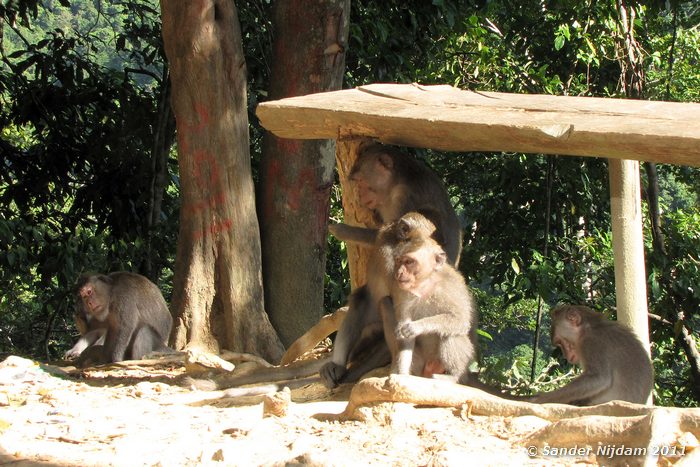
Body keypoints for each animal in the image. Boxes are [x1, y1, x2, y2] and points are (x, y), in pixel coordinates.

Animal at [320, 142, 462, 388]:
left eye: (362, 181)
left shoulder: (403, 198)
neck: (399, 178)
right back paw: (336, 366)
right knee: (360, 301)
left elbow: (392, 235)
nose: (361, 194)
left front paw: (341, 230)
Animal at [374, 212, 478, 384]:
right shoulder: (402, 292)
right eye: (399, 261)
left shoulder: (451, 288)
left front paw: (417, 326)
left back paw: (453, 376)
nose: (399, 273)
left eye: (409, 262)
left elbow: (461, 320)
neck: (423, 285)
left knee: (451, 334)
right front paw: (402, 374)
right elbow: (406, 338)